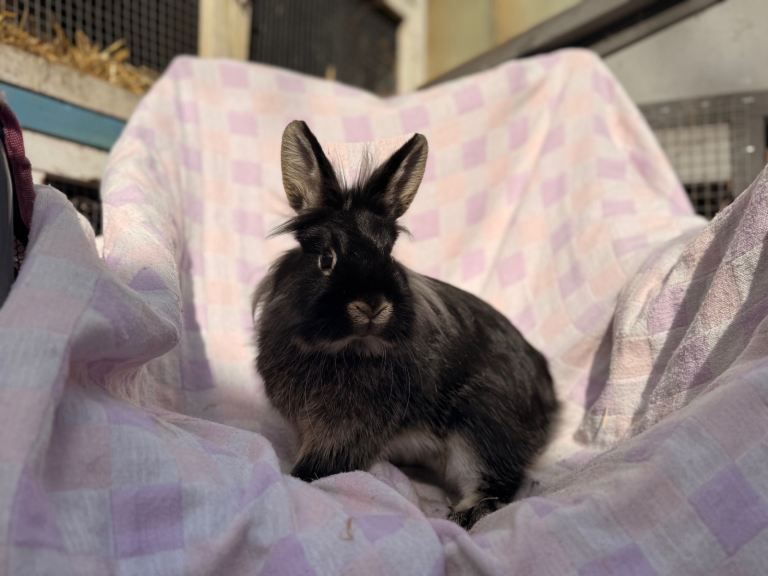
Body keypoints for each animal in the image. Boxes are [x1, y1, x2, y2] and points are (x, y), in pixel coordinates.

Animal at [253, 120, 558, 528]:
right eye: (326, 259)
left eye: (389, 253)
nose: (371, 305)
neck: (345, 349)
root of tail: (549, 399)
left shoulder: (346, 429)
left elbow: (323, 464)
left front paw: (295, 478)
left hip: (481, 423)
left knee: (498, 482)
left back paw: (460, 515)